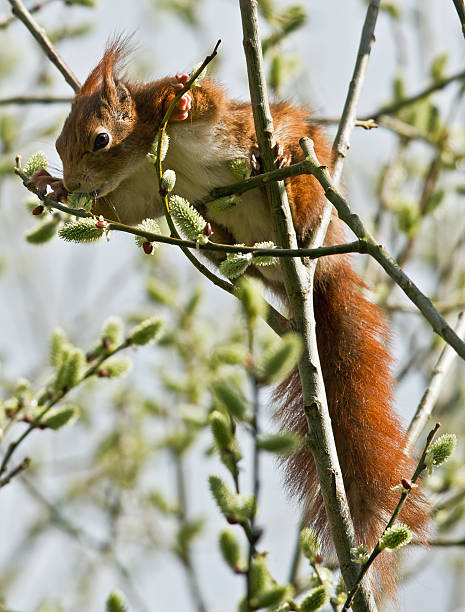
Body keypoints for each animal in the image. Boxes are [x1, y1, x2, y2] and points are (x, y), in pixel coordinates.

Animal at [29, 40, 428, 596]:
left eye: (100, 139)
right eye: (60, 143)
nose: (71, 180)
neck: (146, 156)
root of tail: (316, 266)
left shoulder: (212, 119)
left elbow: (206, 101)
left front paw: (183, 100)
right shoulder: (134, 197)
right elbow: (119, 214)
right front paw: (51, 187)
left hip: (302, 158)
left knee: (299, 179)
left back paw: (281, 170)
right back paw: (220, 246)